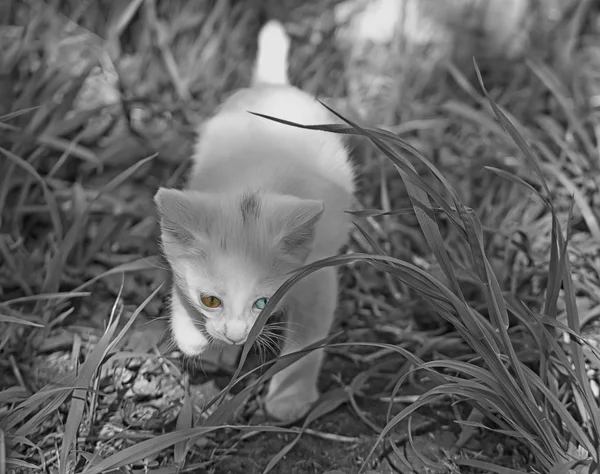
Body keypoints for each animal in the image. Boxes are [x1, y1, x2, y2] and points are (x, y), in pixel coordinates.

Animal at [155, 19, 356, 418]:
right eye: (210, 300)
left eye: (263, 303)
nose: (234, 334)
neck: (257, 188)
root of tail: (271, 87)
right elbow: (179, 284)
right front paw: (193, 336)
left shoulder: (317, 274)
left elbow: (307, 340)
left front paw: (289, 397)